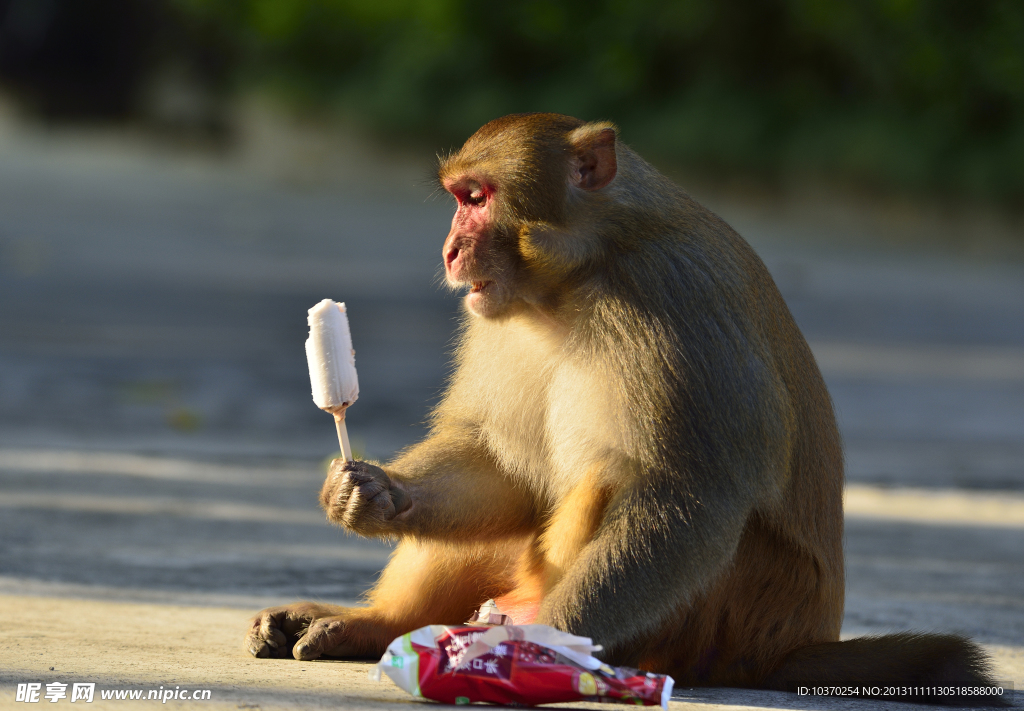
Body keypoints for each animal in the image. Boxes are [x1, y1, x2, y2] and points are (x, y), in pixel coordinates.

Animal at [243, 114, 1003, 704]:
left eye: (477, 198)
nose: (452, 248)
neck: (580, 276)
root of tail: (783, 648)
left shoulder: (676, 299)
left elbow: (686, 495)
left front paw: (548, 644)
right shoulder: (495, 317)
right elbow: (499, 465)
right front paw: (370, 493)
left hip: (717, 622)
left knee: (614, 476)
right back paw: (374, 623)